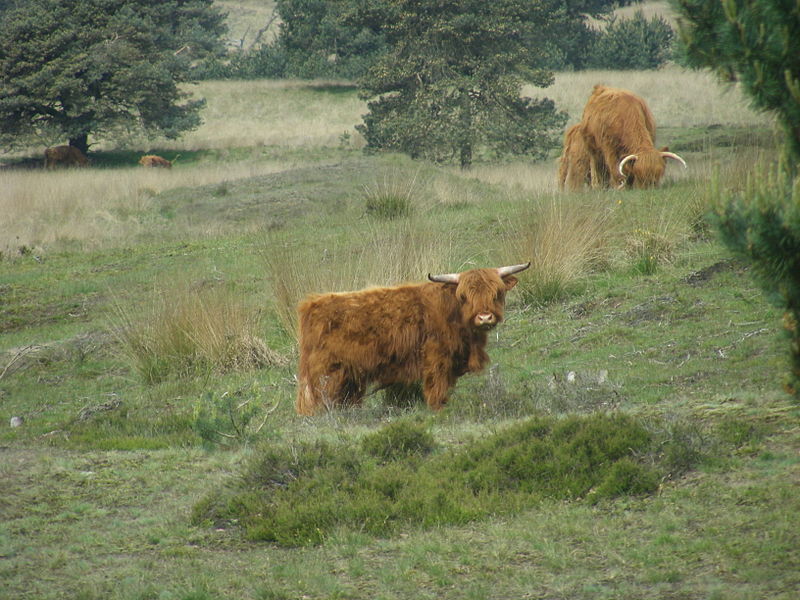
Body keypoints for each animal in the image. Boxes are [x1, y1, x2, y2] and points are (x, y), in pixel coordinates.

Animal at [296, 264, 532, 414]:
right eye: (464, 296)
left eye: (497, 292)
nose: (484, 317)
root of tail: (312, 304)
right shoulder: (437, 357)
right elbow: (437, 386)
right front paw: (438, 408)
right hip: (327, 372)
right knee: (320, 400)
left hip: (350, 375)